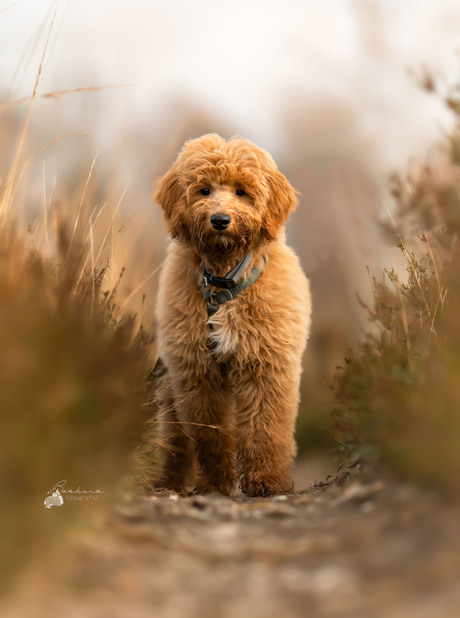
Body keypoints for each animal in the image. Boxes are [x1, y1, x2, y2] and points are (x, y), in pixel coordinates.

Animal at [155, 134, 312, 496]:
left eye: (242, 191)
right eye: (204, 190)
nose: (220, 220)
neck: (223, 280)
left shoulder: (266, 366)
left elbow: (267, 427)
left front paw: (267, 481)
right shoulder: (197, 375)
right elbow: (210, 436)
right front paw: (214, 484)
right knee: (175, 443)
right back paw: (166, 482)